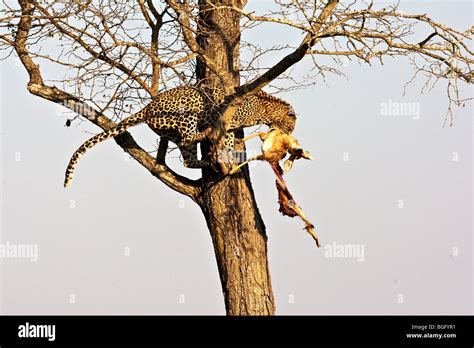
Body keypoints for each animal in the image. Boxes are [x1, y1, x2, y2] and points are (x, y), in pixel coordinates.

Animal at [64, 84, 296, 188]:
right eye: (292, 125)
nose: (290, 133)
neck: (267, 109)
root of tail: (147, 108)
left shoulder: (229, 128)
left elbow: (229, 141)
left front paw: (229, 158)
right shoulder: (226, 118)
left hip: (171, 131)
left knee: (188, 160)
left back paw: (208, 161)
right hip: (187, 114)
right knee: (188, 138)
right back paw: (204, 138)